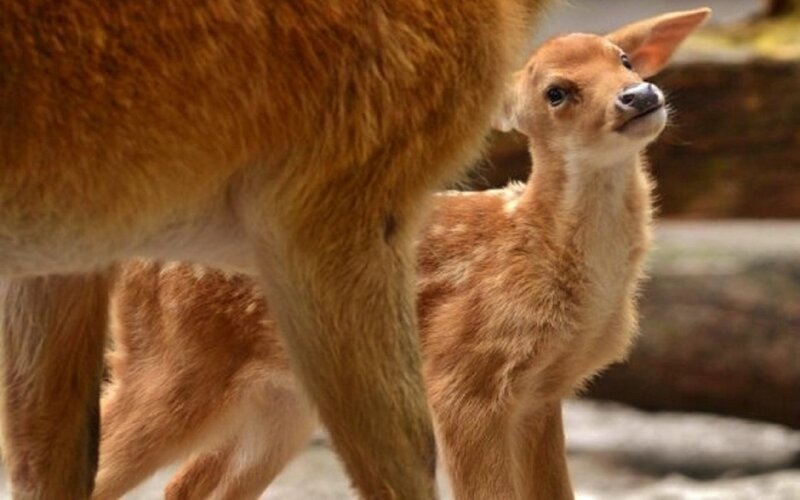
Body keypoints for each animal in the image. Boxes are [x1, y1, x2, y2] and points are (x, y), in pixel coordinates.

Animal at [92, 8, 711, 500]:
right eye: (556, 92)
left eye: (624, 59)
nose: (639, 96)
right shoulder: (465, 377)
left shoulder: (541, 395)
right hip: (175, 367)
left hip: (280, 403)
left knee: (186, 483)